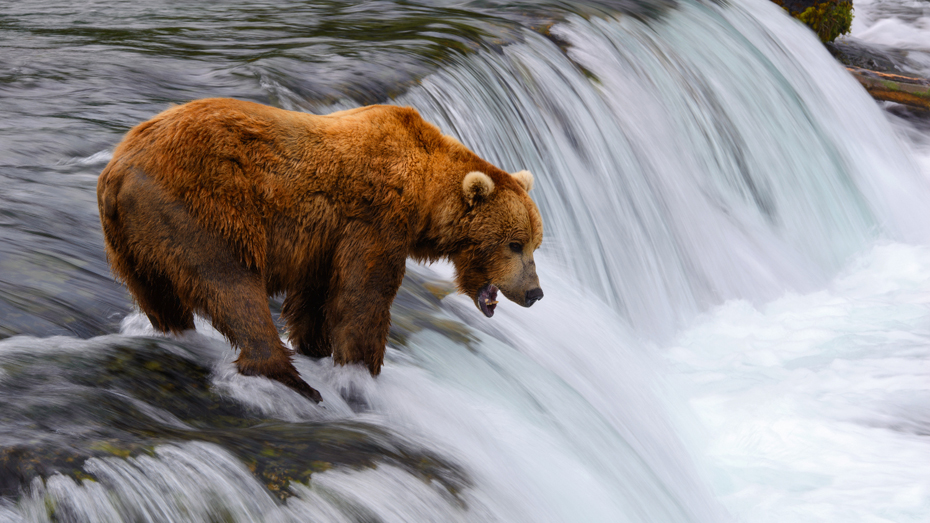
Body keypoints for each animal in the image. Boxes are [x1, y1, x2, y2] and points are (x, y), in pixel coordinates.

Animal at [97, 97, 540, 402]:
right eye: (513, 244)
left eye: (535, 242)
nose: (534, 292)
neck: (425, 196)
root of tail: (118, 167)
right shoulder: (375, 222)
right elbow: (363, 298)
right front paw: (361, 369)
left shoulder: (324, 242)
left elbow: (316, 299)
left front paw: (318, 348)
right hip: (201, 210)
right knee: (231, 286)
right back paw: (291, 380)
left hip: (131, 243)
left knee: (160, 297)